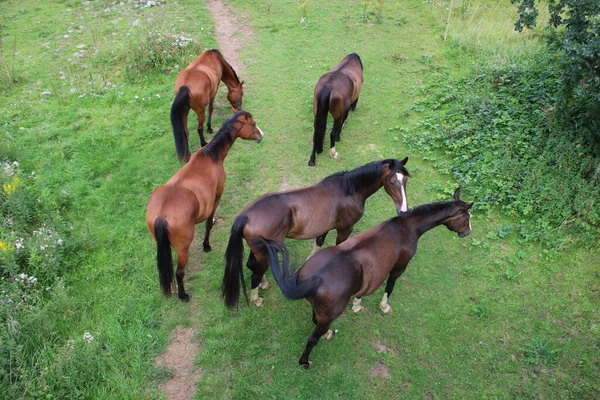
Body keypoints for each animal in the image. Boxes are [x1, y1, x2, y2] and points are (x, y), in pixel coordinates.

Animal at [145, 111, 262, 302]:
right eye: (253, 124)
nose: (261, 135)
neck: (210, 157)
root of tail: (162, 215)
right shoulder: (216, 198)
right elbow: (208, 223)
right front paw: (206, 245)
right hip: (183, 249)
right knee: (179, 272)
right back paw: (183, 295)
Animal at [223, 157, 410, 310]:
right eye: (392, 181)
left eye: (406, 180)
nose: (403, 211)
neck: (348, 191)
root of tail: (246, 215)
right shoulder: (345, 229)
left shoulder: (324, 228)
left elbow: (318, 243)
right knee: (255, 273)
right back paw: (256, 299)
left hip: (259, 251)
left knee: (252, 266)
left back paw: (264, 284)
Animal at [264, 188, 472, 368]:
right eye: (467, 217)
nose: (467, 233)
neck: (406, 227)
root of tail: (314, 279)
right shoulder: (399, 267)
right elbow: (390, 286)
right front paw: (384, 306)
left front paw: (357, 304)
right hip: (328, 316)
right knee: (312, 339)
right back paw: (305, 361)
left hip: (320, 312)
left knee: (316, 321)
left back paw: (328, 333)